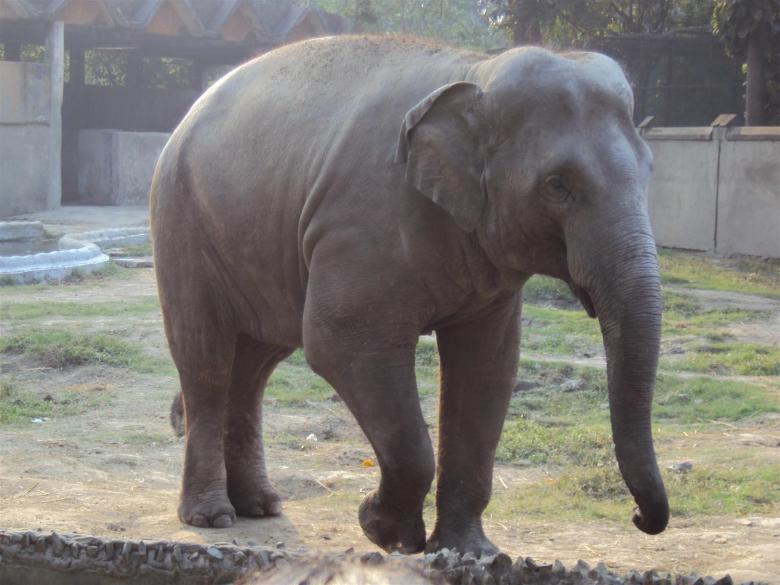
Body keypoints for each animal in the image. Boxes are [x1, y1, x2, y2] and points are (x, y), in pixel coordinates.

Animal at [150, 35, 668, 556]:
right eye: (557, 185)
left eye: (650, 171)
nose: (639, 517)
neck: (476, 71)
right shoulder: (362, 226)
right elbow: (340, 346)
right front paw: (385, 531)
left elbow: (488, 367)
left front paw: (469, 552)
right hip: (181, 223)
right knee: (206, 358)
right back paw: (213, 517)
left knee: (254, 365)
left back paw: (261, 506)